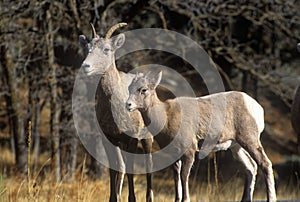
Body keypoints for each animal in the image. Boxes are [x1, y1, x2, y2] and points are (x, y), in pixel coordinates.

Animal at [79, 22, 152, 202]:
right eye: (88, 48)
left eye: (107, 49)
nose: (86, 66)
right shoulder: (110, 139)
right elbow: (114, 169)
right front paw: (113, 198)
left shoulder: (131, 139)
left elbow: (131, 167)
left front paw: (132, 199)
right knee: (122, 166)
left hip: (147, 138)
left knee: (149, 164)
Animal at [125, 71, 276, 202]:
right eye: (129, 88)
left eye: (143, 90)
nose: (128, 105)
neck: (166, 116)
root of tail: (257, 108)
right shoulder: (175, 156)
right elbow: (176, 178)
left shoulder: (189, 153)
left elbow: (184, 176)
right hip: (236, 147)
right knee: (250, 167)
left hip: (249, 140)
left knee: (265, 163)